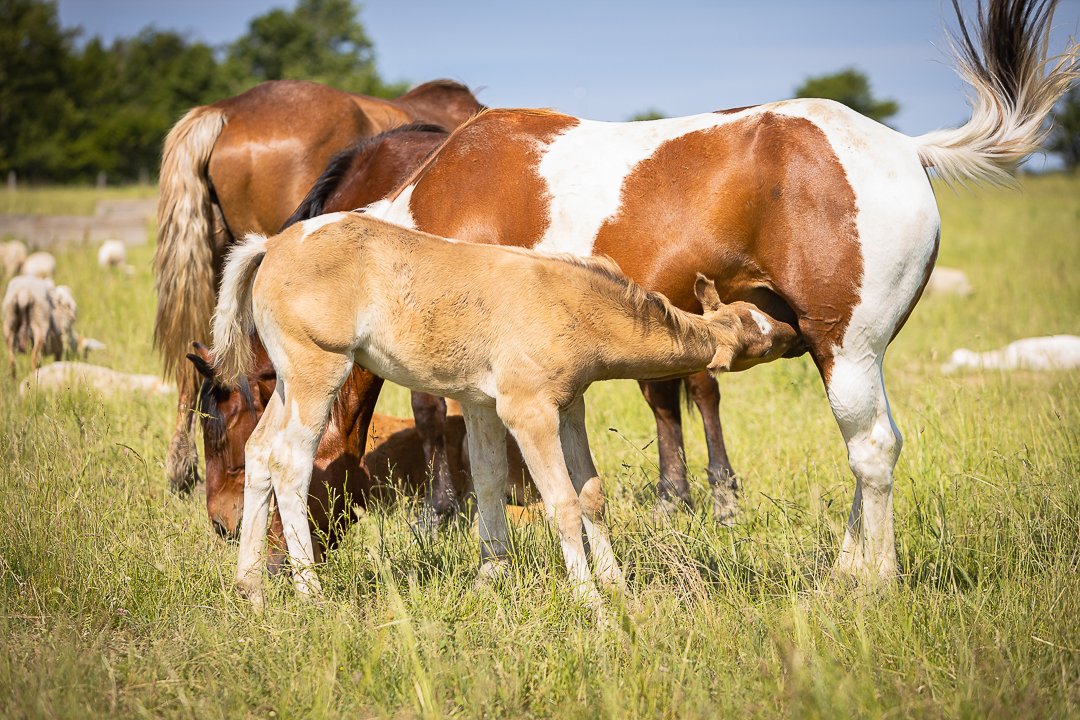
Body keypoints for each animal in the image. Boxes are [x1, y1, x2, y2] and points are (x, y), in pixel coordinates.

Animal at [211, 212, 797, 610]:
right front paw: (590, 598)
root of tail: (273, 245)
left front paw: (606, 583)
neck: (568, 300)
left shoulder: (551, 408)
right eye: (759, 339)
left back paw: (250, 588)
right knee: (290, 462)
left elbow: (563, 490)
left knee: (259, 452)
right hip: (318, 372)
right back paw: (310, 590)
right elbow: (562, 502)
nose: (792, 332)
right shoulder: (528, 412)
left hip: (287, 382)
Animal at [360, 0, 1078, 582]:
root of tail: (905, 147)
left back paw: (872, 583)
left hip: (846, 349)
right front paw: (499, 572)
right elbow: (500, 472)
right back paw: (846, 570)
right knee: (873, 447)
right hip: (853, 354)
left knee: (871, 448)